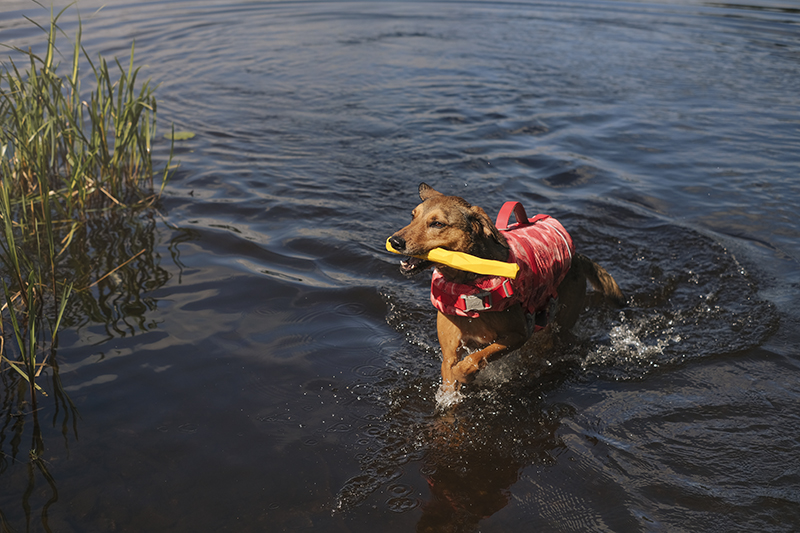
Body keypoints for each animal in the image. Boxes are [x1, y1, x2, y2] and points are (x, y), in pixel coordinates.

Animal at [388, 183, 624, 390]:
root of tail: (577, 257)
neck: (468, 284)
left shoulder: (519, 334)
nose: (395, 241)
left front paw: (465, 374)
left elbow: (476, 358)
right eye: (413, 216)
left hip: (558, 324)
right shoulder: (449, 354)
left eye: (437, 224)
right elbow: (450, 382)